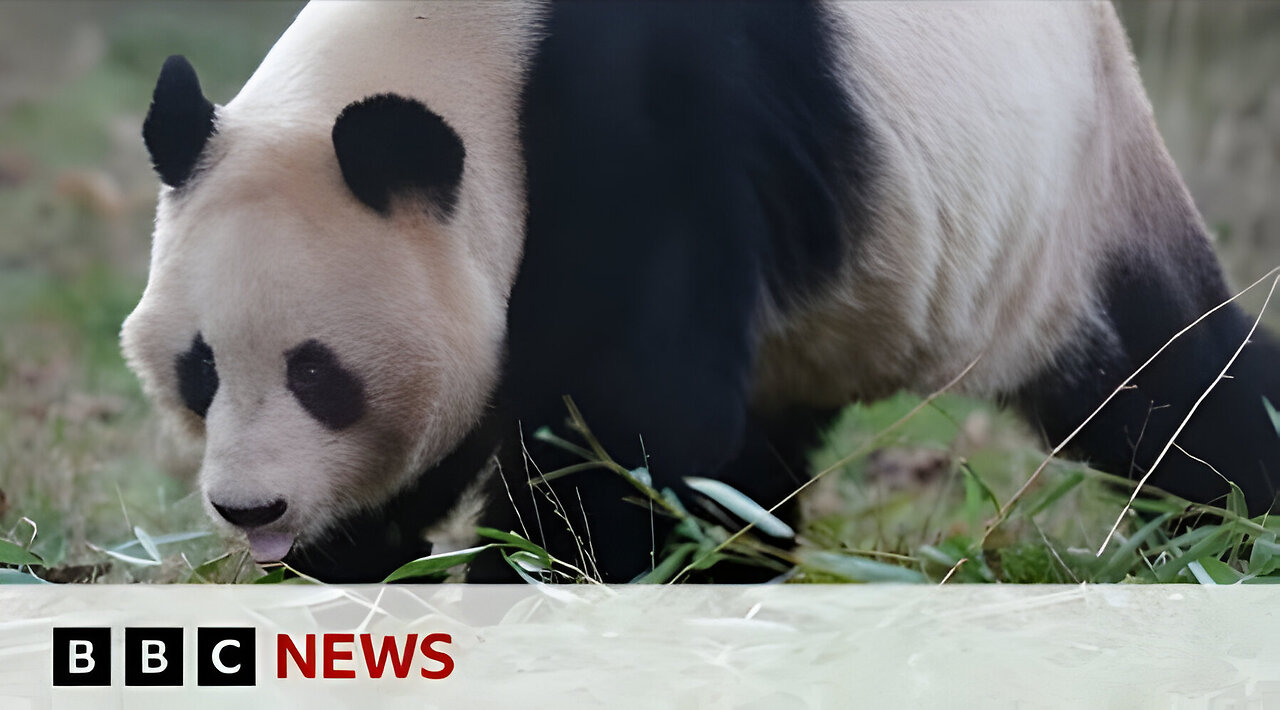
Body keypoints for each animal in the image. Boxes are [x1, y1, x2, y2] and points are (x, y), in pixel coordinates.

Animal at [117, 1, 1269, 583]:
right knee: (753, 456)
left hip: (1058, 198)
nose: (249, 506)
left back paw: (1232, 535)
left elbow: (629, 415)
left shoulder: (649, 122)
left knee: (1170, 390)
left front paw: (536, 589)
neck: (470, 46)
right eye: (200, 369)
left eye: (319, 374)